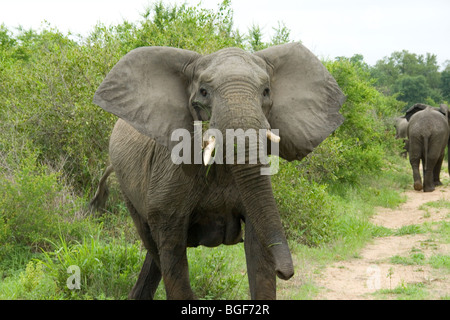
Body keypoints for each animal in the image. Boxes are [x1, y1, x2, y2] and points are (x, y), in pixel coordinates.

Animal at [90, 42, 344, 300]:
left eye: (266, 91)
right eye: (203, 92)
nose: (285, 272)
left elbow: (259, 252)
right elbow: (172, 256)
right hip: (127, 187)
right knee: (152, 242)